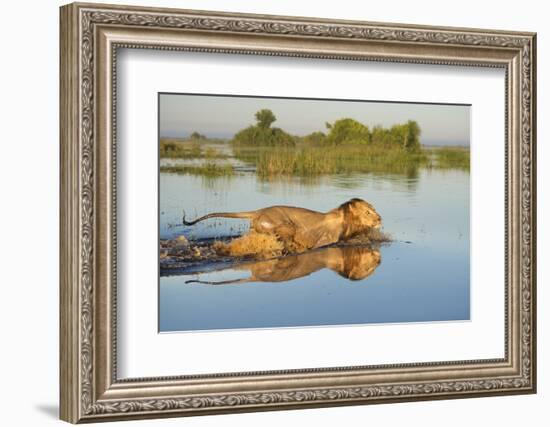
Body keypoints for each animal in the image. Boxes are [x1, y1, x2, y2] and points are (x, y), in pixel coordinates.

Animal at [183, 198, 382, 254]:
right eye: (368, 212)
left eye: (374, 209)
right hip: (285, 225)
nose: (380, 218)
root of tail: (258, 211)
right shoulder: (326, 241)